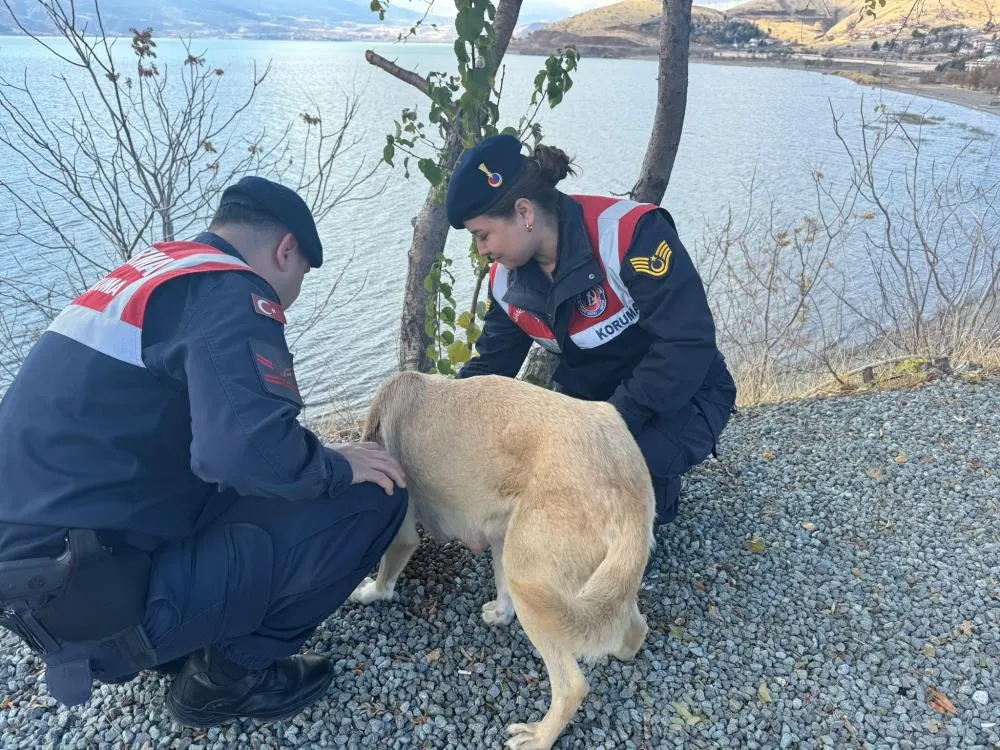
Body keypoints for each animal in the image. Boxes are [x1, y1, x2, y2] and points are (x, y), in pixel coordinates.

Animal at [352, 374, 656, 748]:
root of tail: (627, 483)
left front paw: (367, 592)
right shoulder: (497, 532)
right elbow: (502, 591)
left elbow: (383, 582)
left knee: (571, 686)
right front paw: (499, 614)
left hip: (531, 577)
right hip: (583, 580)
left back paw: (539, 737)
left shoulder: (403, 535)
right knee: (632, 626)